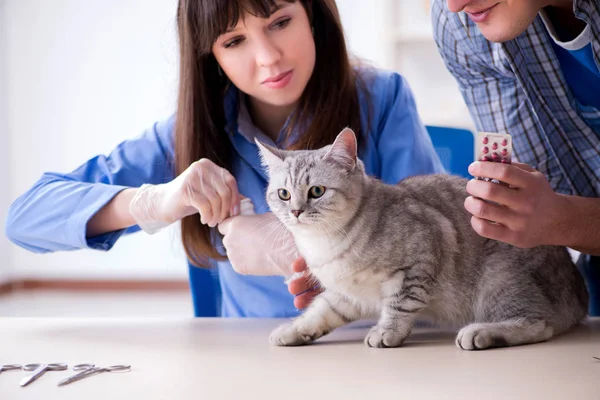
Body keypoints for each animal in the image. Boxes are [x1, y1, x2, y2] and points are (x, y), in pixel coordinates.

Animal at [255, 129, 588, 350]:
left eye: (317, 191)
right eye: (283, 194)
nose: (296, 211)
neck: (325, 245)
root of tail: (578, 292)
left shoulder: (420, 257)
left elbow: (400, 304)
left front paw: (386, 332)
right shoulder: (347, 294)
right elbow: (320, 311)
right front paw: (294, 330)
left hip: (499, 278)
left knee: (539, 325)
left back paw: (481, 333)